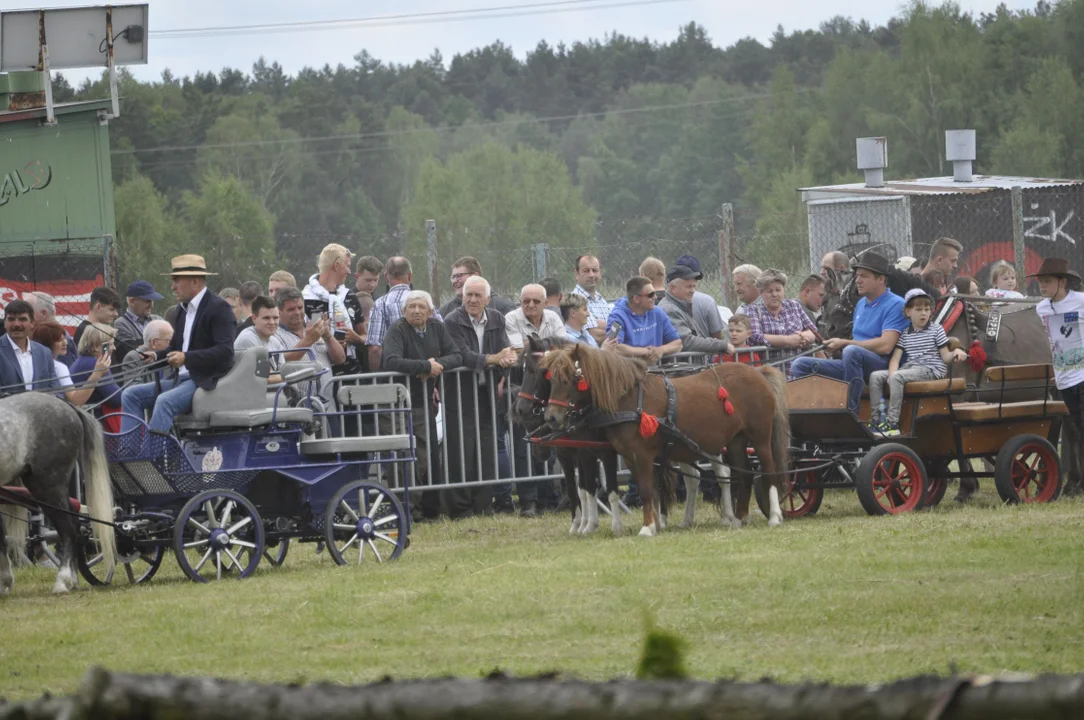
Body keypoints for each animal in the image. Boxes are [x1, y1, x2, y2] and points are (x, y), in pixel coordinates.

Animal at [0, 390, 115, 594]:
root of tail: (68, 406)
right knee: (74, 526)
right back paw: (73, 580)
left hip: (48, 488)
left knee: (68, 530)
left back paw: (62, 581)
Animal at [539, 342, 789, 533]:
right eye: (551, 380)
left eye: (570, 378)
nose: (551, 417)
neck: (630, 398)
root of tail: (758, 373)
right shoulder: (628, 457)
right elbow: (647, 490)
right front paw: (655, 524)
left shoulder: (641, 455)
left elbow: (646, 490)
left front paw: (647, 528)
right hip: (735, 440)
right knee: (743, 474)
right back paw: (739, 518)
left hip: (759, 437)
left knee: (767, 470)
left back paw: (774, 516)